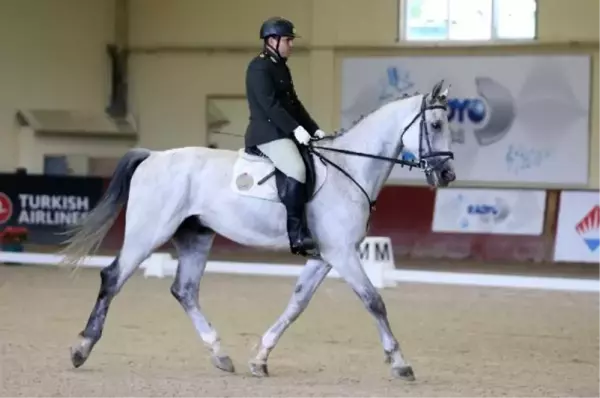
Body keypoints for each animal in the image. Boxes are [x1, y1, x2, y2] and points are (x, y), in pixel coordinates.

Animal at [61, 77, 454, 380]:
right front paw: (400, 364)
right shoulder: (342, 253)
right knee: (113, 277)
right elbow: (374, 301)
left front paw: (260, 359)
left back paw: (220, 355)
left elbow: (297, 303)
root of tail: (153, 156)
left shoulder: (325, 256)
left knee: (184, 290)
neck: (349, 170)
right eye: (435, 125)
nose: (447, 175)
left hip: (195, 236)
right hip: (148, 232)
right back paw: (81, 348)